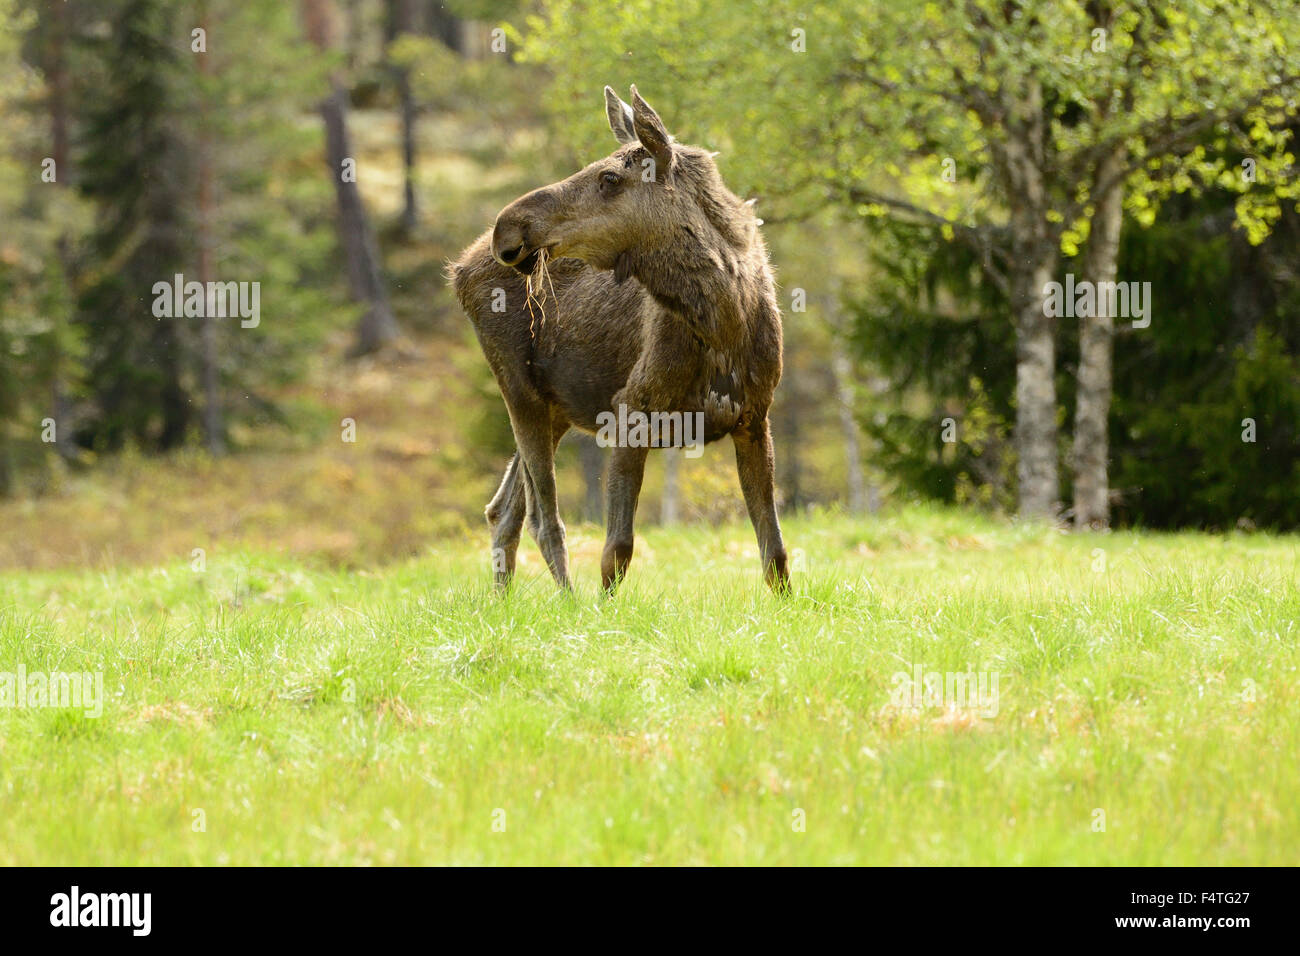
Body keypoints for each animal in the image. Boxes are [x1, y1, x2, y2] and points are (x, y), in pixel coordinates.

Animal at [452, 85, 785, 595]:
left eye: (609, 177)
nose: (506, 227)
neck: (726, 322)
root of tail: (459, 270)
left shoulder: (754, 416)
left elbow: (775, 555)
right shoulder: (630, 410)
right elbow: (617, 551)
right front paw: (603, 609)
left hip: (556, 407)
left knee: (504, 509)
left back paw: (505, 602)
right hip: (518, 392)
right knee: (545, 519)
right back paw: (567, 602)